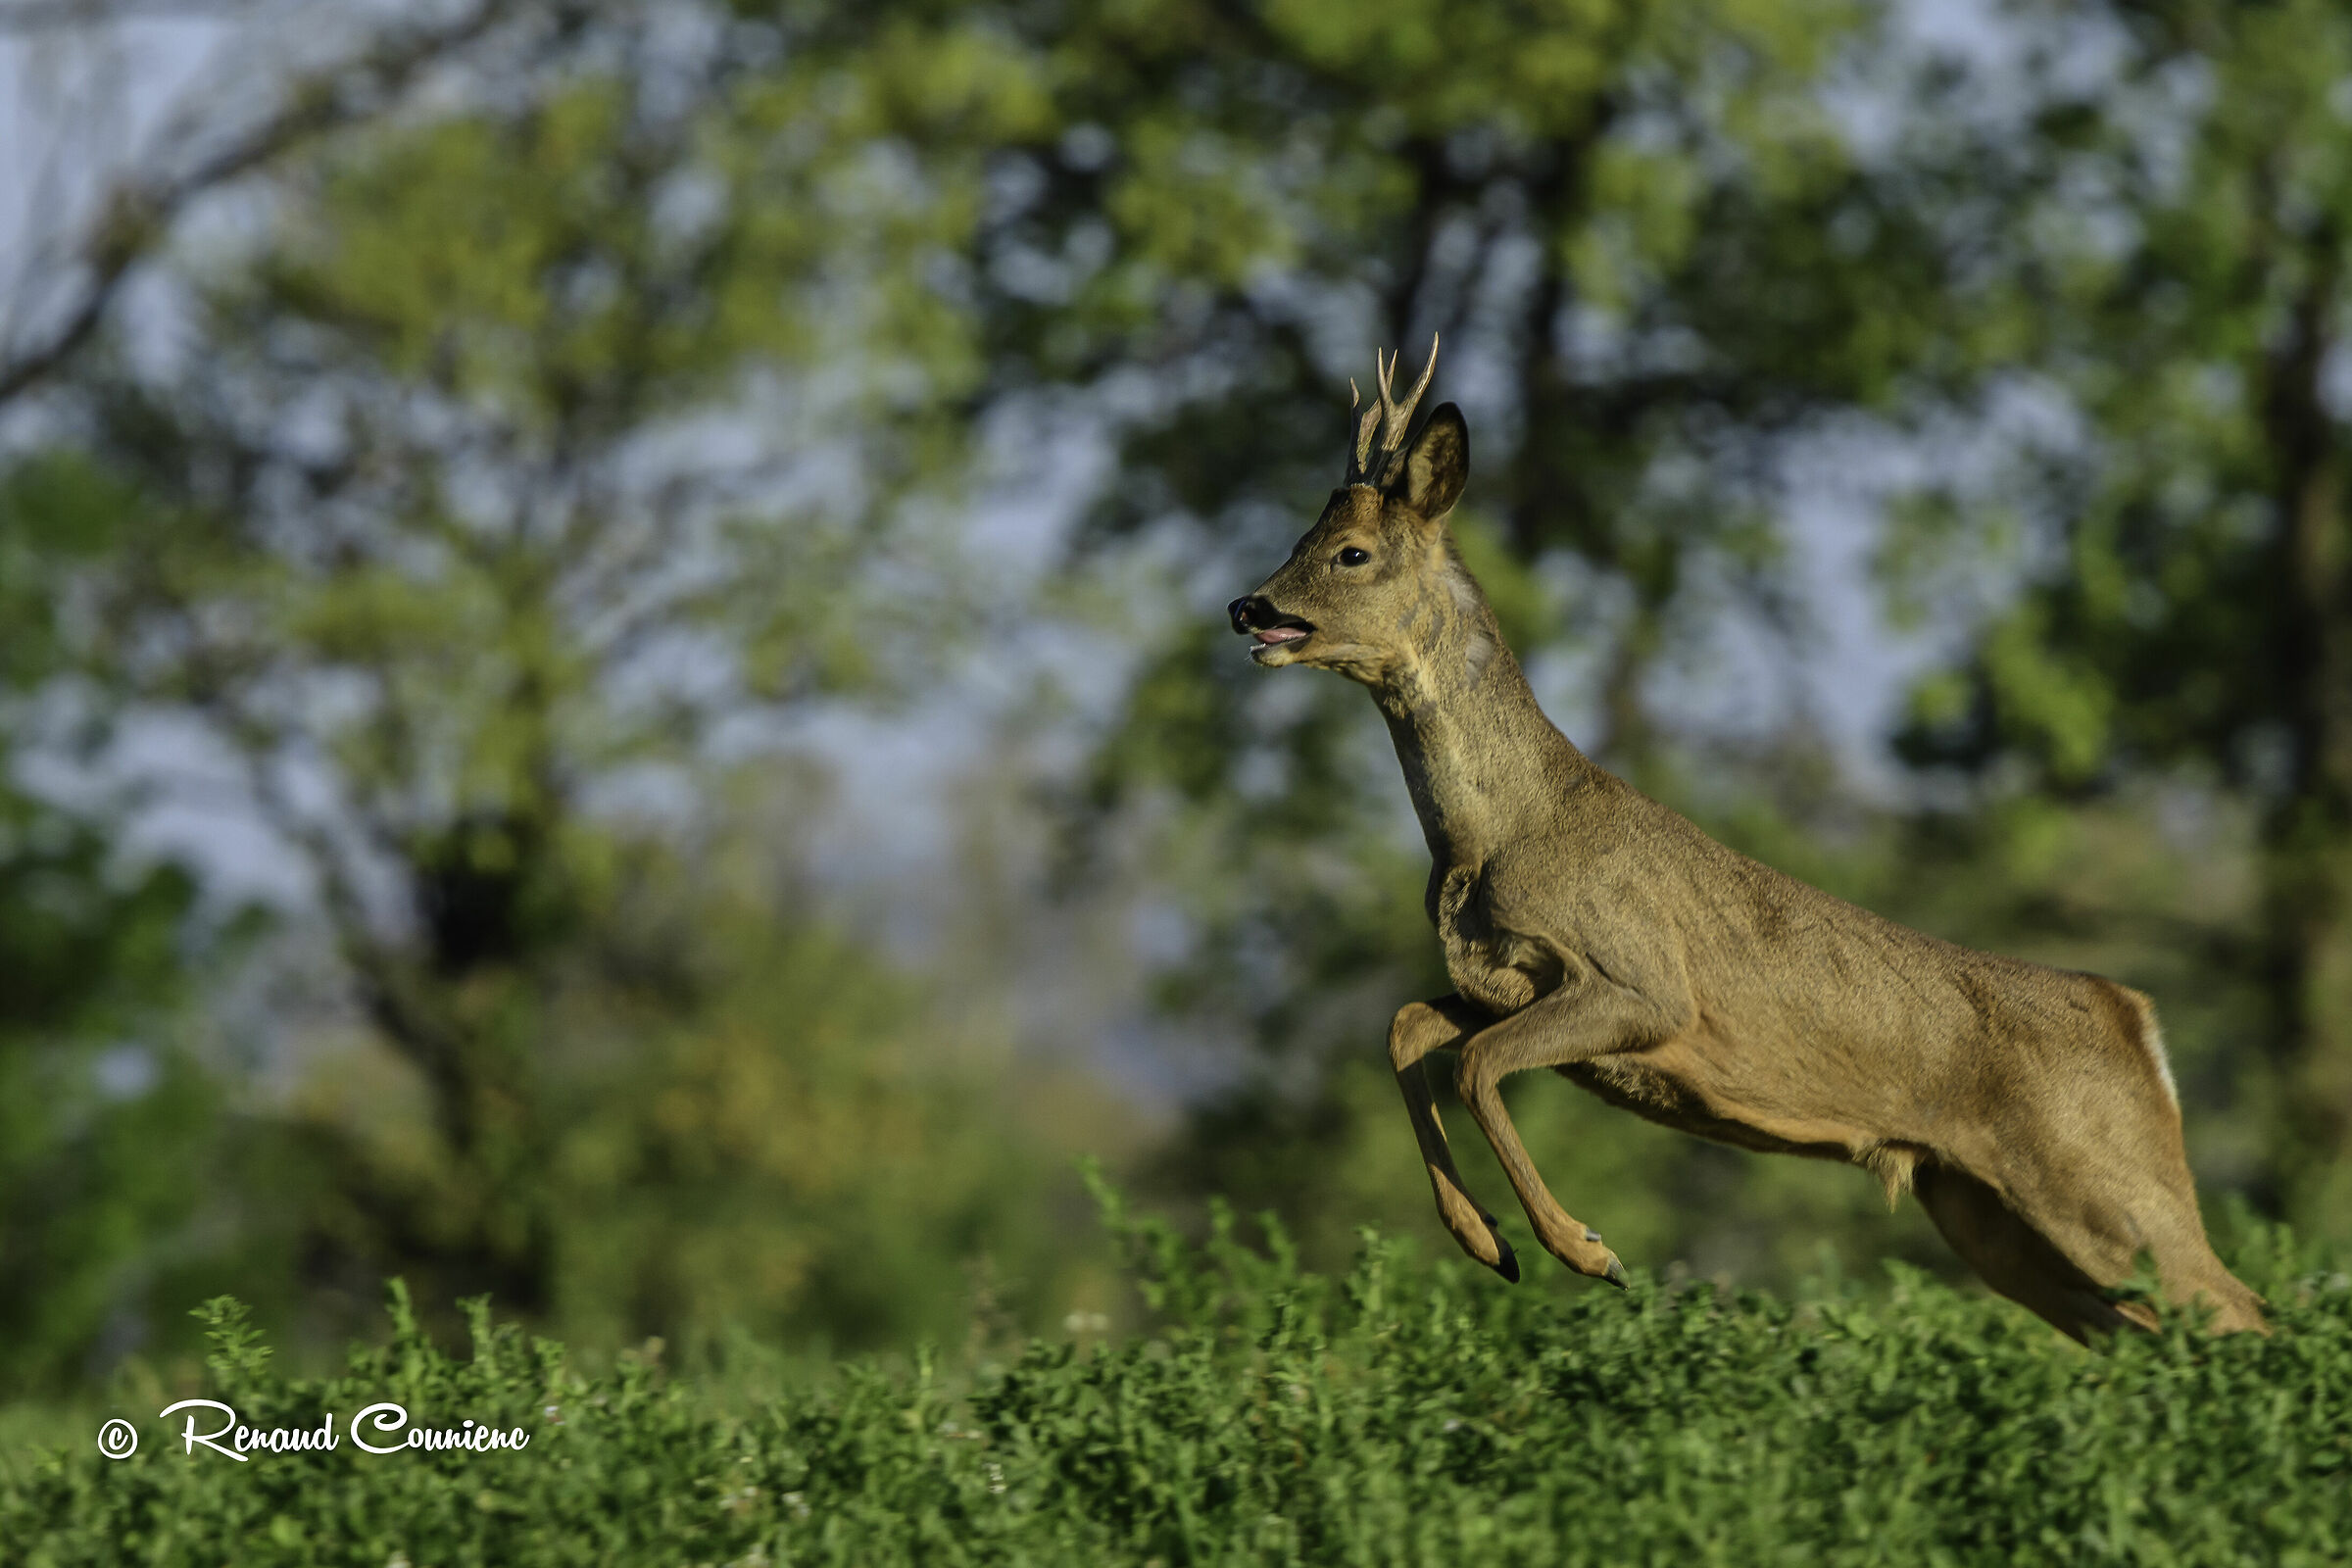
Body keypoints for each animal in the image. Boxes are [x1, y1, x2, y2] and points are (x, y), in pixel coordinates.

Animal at [1225, 338, 2267, 1341]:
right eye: (1299, 537)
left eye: (1351, 553)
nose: (1247, 607)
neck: (1495, 837)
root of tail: (2138, 1023)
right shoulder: (1497, 983)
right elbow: (1406, 1025)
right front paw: (1486, 1242)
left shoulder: (1640, 981)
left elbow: (1478, 1063)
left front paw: (1585, 1250)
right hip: (1982, 1214)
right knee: (2142, 1325)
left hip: (2097, 1184)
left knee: (2233, 1301)